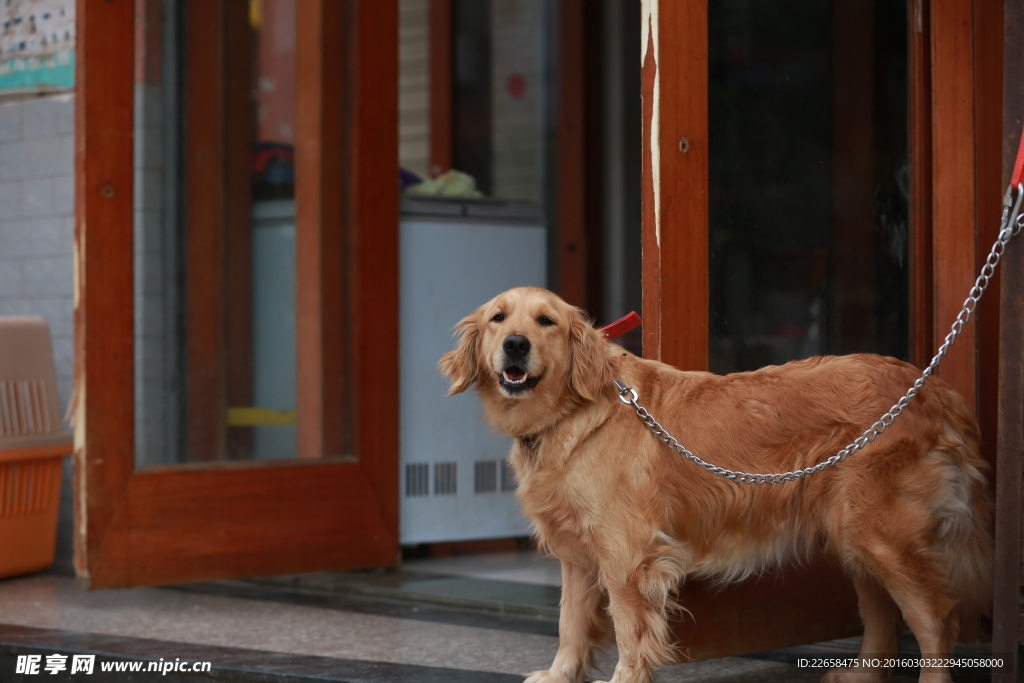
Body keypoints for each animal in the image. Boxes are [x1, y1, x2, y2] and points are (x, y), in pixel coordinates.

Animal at [438, 286, 991, 683]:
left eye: (545, 322)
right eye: (499, 318)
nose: (515, 344)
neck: (573, 411)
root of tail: (933, 388)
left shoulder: (628, 557)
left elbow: (629, 634)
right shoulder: (577, 554)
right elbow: (569, 622)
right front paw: (560, 675)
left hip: (880, 535)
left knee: (936, 618)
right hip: (853, 535)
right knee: (881, 614)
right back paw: (858, 676)